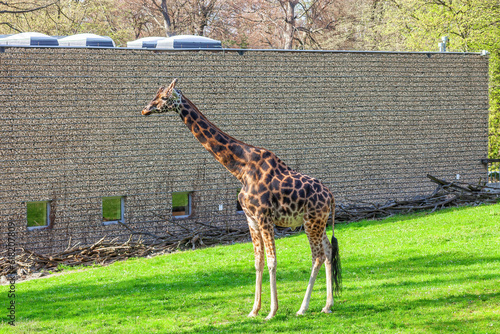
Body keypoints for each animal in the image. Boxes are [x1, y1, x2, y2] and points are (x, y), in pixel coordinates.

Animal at [143, 77, 342, 318]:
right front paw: (254, 310)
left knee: (318, 256)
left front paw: (271, 311)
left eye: (163, 97)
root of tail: (331, 195)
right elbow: (258, 262)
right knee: (329, 251)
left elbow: (272, 261)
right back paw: (327, 305)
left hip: (311, 222)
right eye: (155, 94)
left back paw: (303, 308)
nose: (145, 109)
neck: (240, 168)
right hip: (318, 222)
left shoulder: (264, 217)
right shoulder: (251, 219)